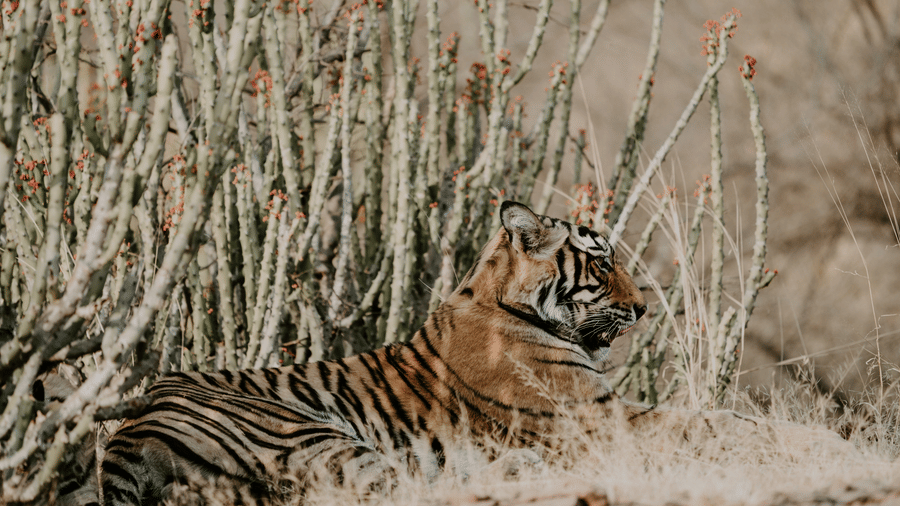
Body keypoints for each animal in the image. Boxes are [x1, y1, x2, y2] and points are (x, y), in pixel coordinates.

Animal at [97, 201, 851, 505]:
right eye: (602, 262)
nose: (644, 308)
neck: (505, 300)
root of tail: (129, 430)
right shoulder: (603, 419)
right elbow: (720, 422)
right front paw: (824, 443)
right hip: (311, 434)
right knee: (400, 487)